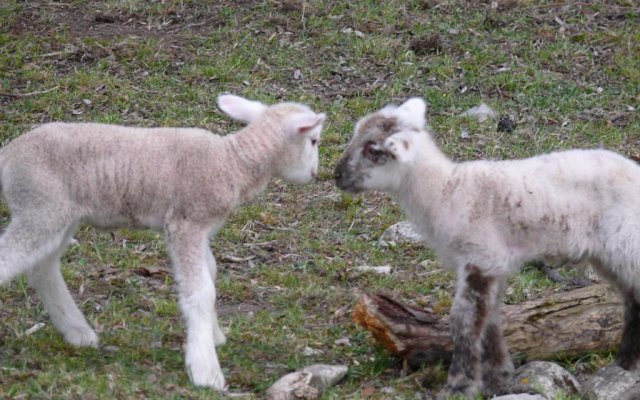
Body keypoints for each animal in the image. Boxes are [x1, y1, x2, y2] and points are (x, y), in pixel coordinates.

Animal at [0, 94, 328, 390]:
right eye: (313, 141)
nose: (314, 174)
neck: (232, 162)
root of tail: (7, 155)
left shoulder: (197, 230)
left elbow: (210, 272)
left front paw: (213, 334)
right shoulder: (186, 224)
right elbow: (200, 290)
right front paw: (205, 369)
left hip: (58, 215)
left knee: (42, 269)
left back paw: (78, 333)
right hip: (40, 206)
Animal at [336, 98, 640, 398]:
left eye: (373, 149)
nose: (337, 175)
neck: (445, 192)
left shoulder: (480, 256)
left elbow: (464, 320)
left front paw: (459, 385)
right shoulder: (494, 264)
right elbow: (491, 318)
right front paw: (497, 378)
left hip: (625, 241)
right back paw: (624, 364)